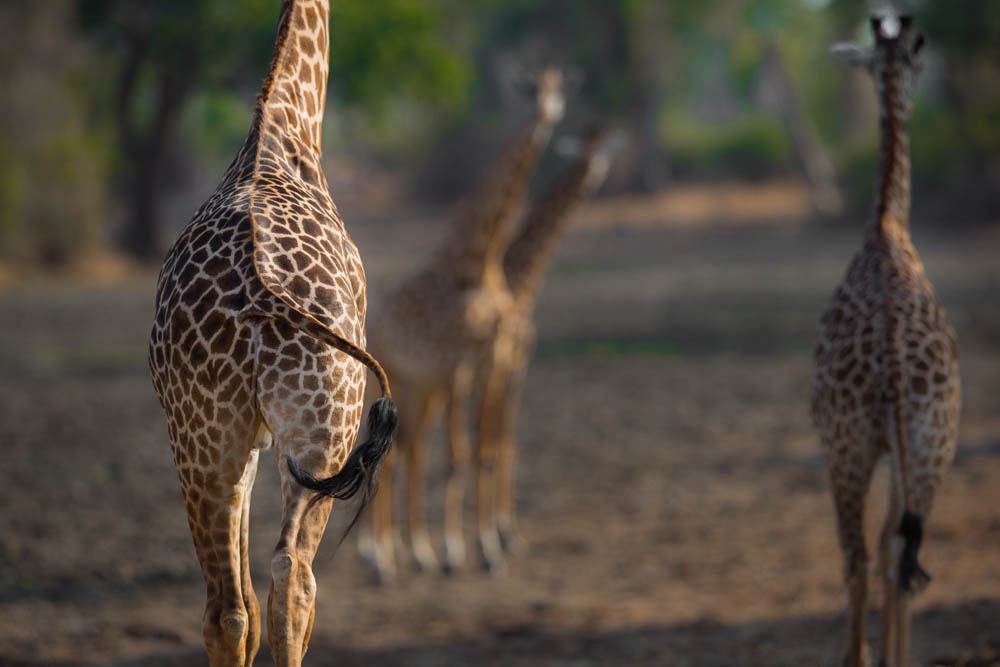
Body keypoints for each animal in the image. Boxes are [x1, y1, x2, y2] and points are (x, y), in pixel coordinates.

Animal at [147, 2, 394, 664]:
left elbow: (245, 605)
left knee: (230, 606)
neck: (285, 128)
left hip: (202, 437)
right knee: (293, 575)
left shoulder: (248, 439)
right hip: (325, 431)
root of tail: (262, 290)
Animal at [362, 65, 568, 580]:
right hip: (392, 383)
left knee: (409, 451)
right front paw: (457, 551)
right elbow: (458, 456)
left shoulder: (489, 358)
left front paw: (487, 547)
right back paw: (380, 557)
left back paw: (408, 552)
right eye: (531, 91)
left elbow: (481, 449)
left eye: (560, 91)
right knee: (388, 455)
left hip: (422, 388)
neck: (476, 261)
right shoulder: (457, 360)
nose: (547, 118)